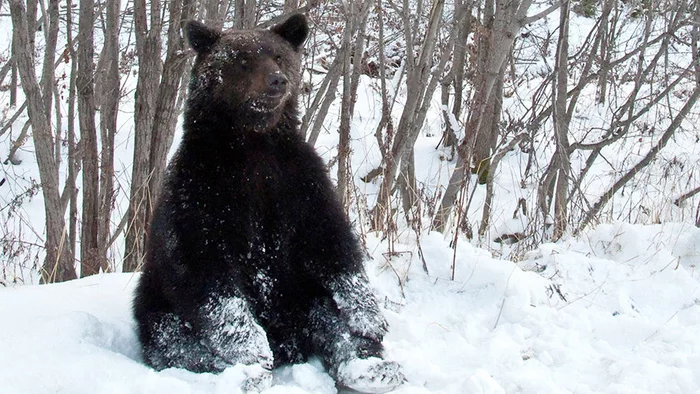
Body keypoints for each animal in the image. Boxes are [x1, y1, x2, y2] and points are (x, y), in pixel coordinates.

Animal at [132, 13, 404, 392]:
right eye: (241, 60)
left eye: (278, 56)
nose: (278, 81)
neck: (253, 144)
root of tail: (291, 344)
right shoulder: (200, 190)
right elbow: (206, 270)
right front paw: (250, 349)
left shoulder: (298, 181)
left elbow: (331, 243)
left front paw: (369, 317)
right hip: (155, 301)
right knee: (171, 339)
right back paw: (244, 374)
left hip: (302, 295)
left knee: (330, 318)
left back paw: (370, 367)